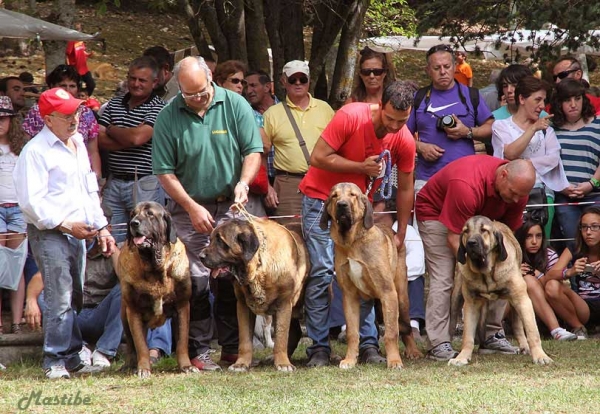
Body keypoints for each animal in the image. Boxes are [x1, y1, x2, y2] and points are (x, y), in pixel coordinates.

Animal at [117, 201, 199, 378]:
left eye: (150, 214)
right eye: (133, 214)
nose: (133, 223)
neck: (155, 267)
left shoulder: (182, 307)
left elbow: (182, 342)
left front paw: (187, 366)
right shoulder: (134, 311)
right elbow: (141, 345)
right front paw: (143, 369)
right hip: (124, 315)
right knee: (131, 345)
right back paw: (129, 365)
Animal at [200, 218, 308, 370]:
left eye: (221, 241)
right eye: (210, 240)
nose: (200, 256)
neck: (259, 267)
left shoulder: (284, 304)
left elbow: (281, 337)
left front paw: (283, 364)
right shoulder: (243, 305)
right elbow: (244, 339)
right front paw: (241, 363)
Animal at [322, 183, 424, 370]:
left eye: (353, 195)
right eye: (334, 196)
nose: (342, 205)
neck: (352, 241)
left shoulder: (388, 293)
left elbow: (391, 333)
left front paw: (394, 361)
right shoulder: (350, 297)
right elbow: (352, 333)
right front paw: (349, 360)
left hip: (401, 298)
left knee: (406, 327)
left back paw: (413, 351)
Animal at [450, 215, 552, 368]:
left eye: (484, 230)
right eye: (466, 231)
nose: (471, 243)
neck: (486, 273)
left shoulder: (522, 299)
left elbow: (532, 331)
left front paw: (540, 356)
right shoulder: (471, 304)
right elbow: (467, 336)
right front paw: (462, 357)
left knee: (518, 325)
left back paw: (524, 346)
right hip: (456, 297)